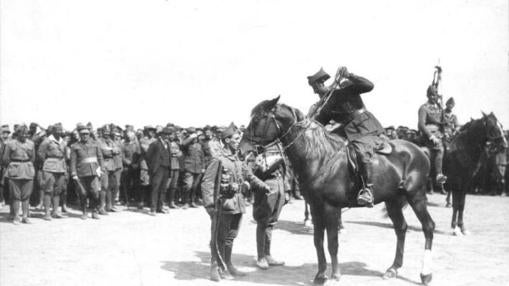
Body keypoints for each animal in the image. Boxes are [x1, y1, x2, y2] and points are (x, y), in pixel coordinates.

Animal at [240, 97, 434, 284]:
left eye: (257, 119)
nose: (242, 150)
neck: (320, 158)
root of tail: (420, 150)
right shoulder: (315, 207)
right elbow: (318, 241)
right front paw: (320, 275)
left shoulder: (331, 208)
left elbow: (332, 243)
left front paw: (335, 275)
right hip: (392, 200)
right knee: (401, 229)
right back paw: (393, 269)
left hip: (416, 196)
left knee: (428, 227)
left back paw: (425, 274)